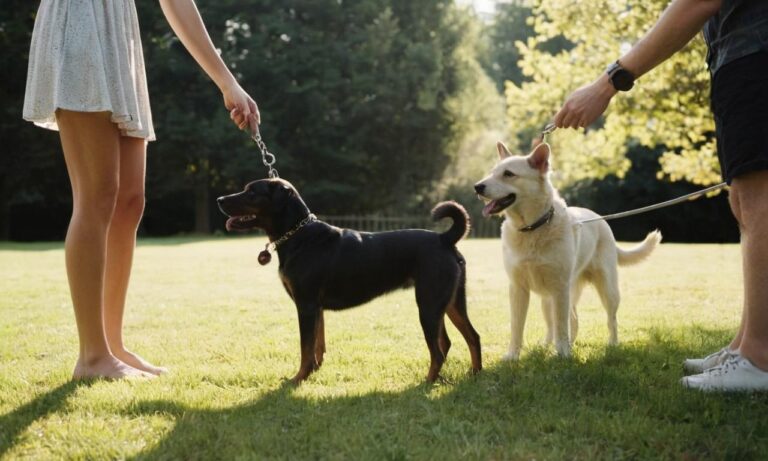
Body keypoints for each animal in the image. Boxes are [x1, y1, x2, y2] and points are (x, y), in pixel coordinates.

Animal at [216, 178, 480, 382]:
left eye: (252, 192)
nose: (219, 199)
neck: (299, 236)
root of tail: (445, 238)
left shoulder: (306, 305)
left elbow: (305, 347)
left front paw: (298, 378)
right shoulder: (316, 308)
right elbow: (317, 344)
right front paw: (314, 372)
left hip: (429, 304)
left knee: (438, 350)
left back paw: (428, 381)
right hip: (450, 302)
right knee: (468, 338)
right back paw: (475, 375)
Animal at [474, 140, 660, 360]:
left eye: (508, 174)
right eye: (492, 172)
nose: (477, 187)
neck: (532, 228)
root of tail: (599, 218)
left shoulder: (560, 288)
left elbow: (562, 326)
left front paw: (563, 354)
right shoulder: (518, 288)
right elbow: (517, 326)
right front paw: (512, 356)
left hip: (606, 290)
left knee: (609, 319)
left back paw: (611, 344)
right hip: (549, 299)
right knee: (565, 321)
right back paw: (546, 346)